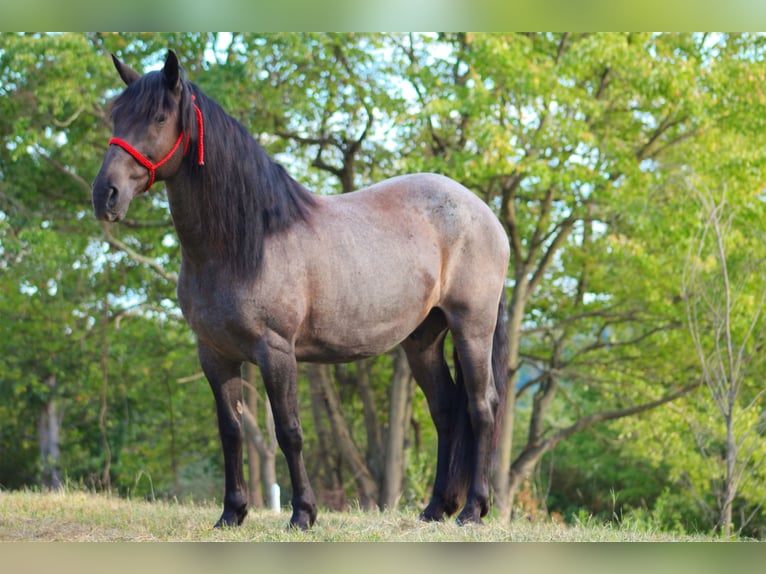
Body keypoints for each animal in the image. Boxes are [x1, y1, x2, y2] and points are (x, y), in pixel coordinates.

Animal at [91, 49, 510, 532]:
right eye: (117, 115)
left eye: (158, 117)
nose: (105, 194)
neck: (245, 241)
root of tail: (484, 213)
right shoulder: (214, 354)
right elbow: (230, 431)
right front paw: (232, 513)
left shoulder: (276, 351)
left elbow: (289, 430)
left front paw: (303, 513)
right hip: (422, 339)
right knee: (446, 410)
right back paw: (435, 508)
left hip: (472, 327)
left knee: (481, 407)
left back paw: (473, 509)